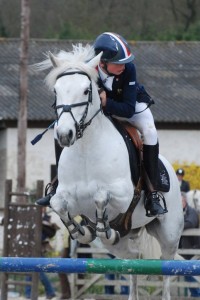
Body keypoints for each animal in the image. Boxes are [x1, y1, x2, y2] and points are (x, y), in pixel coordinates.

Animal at [35, 44, 184, 300]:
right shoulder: (66, 197)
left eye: (86, 91)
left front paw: (101, 225)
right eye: (56, 91)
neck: (85, 149)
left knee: (167, 267)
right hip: (121, 243)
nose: (64, 135)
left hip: (170, 233)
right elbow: (57, 204)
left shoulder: (123, 195)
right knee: (132, 259)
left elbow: (100, 195)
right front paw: (83, 232)